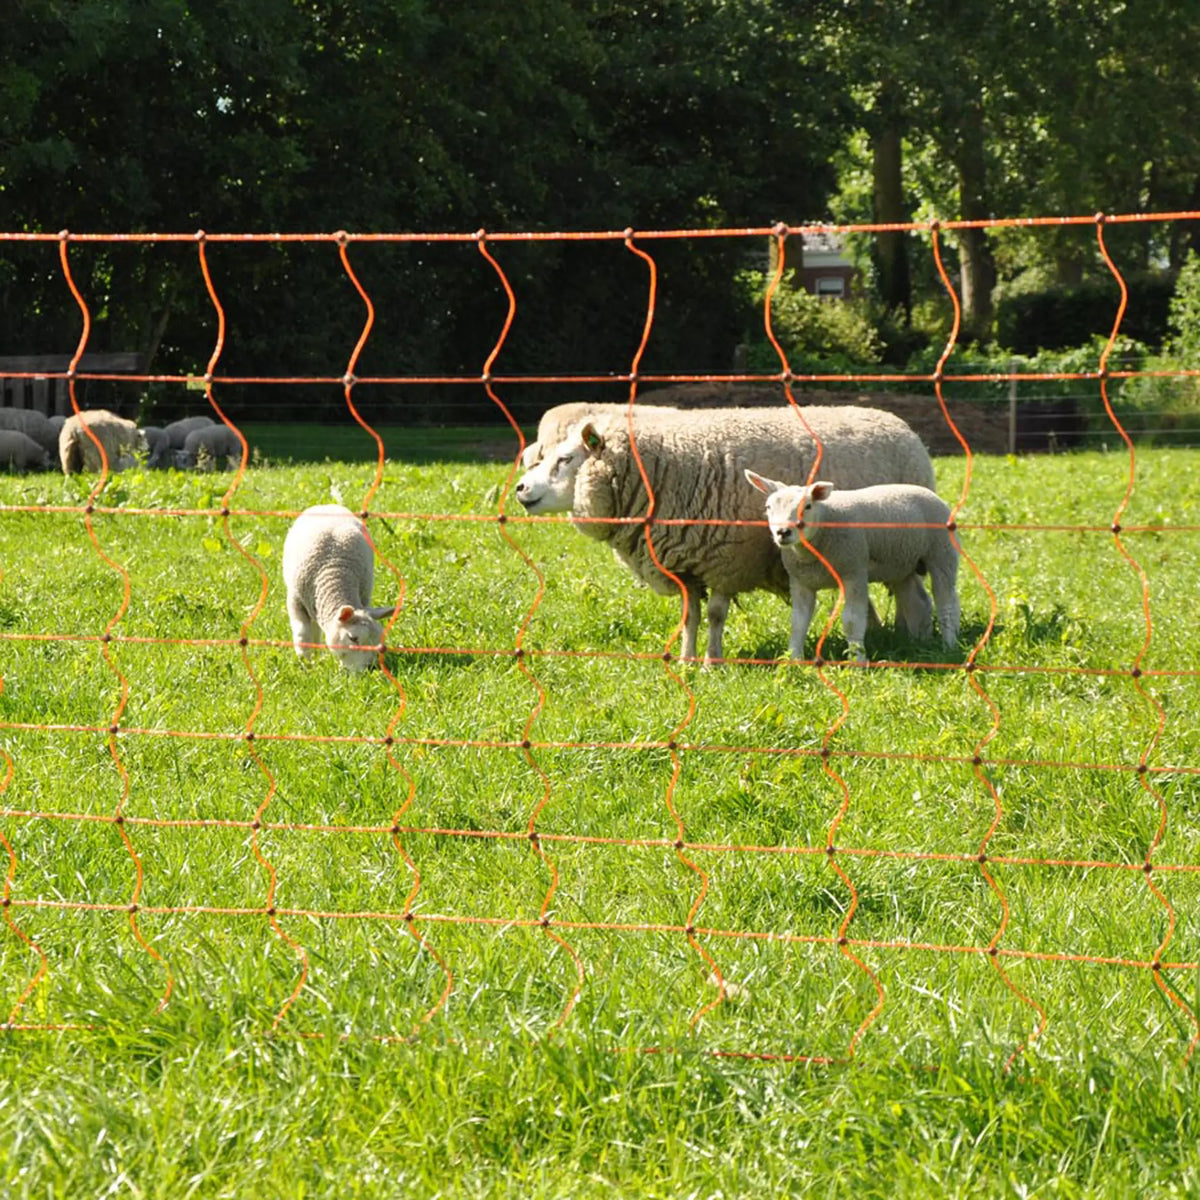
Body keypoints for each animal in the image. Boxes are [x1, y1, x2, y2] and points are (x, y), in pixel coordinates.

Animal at [281, 504, 397, 672]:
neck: (336, 574)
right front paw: (306, 663)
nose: (367, 670)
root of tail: (328, 505)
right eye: (352, 638)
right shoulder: (296, 601)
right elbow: (303, 634)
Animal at [514, 405, 936, 664]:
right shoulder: (684, 564)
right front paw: (686, 659)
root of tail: (903, 427)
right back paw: (900, 636)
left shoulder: (725, 560)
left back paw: (915, 641)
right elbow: (690, 616)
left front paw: (711, 661)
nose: (520, 488)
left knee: (916, 596)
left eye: (565, 459)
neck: (658, 474)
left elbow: (716, 615)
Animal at [745, 472, 960, 662]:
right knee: (917, 602)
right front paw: (794, 661)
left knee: (947, 603)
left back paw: (949, 646)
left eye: (807, 506)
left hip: (942, 553)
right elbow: (798, 622)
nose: (783, 532)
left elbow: (852, 620)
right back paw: (919, 643)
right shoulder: (801, 582)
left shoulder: (853, 572)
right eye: (768, 506)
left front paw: (857, 662)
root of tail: (928, 492)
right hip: (902, 566)